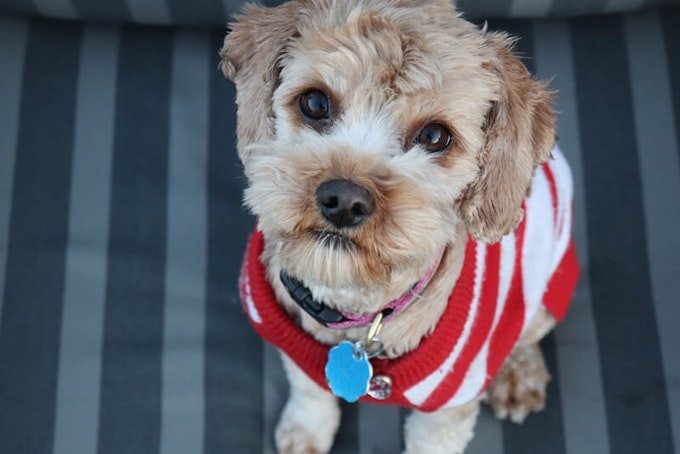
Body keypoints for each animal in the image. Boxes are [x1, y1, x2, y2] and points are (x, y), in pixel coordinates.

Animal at [222, 1, 580, 452]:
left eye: (435, 136)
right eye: (315, 103)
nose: (344, 201)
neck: (355, 311)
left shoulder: (448, 408)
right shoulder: (294, 349)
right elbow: (309, 389)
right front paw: (305, 431)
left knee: (525, 332)